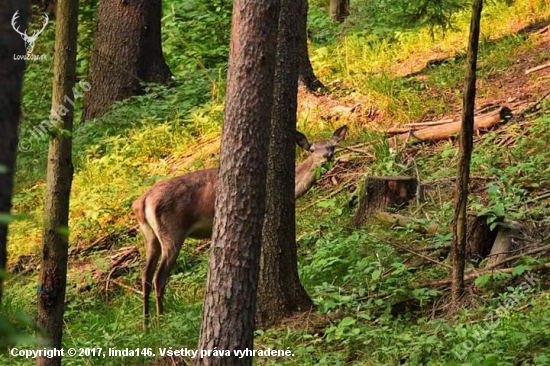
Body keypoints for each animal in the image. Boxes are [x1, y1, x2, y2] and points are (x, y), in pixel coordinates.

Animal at [134, 126, 350, 326]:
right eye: (312, 149)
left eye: (332, 146)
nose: (327, 156)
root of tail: (142, 201)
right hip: (172, 232)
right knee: (159, 278)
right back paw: (162, 320)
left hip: (150, 236)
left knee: (145, 276)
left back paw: (146, 325)